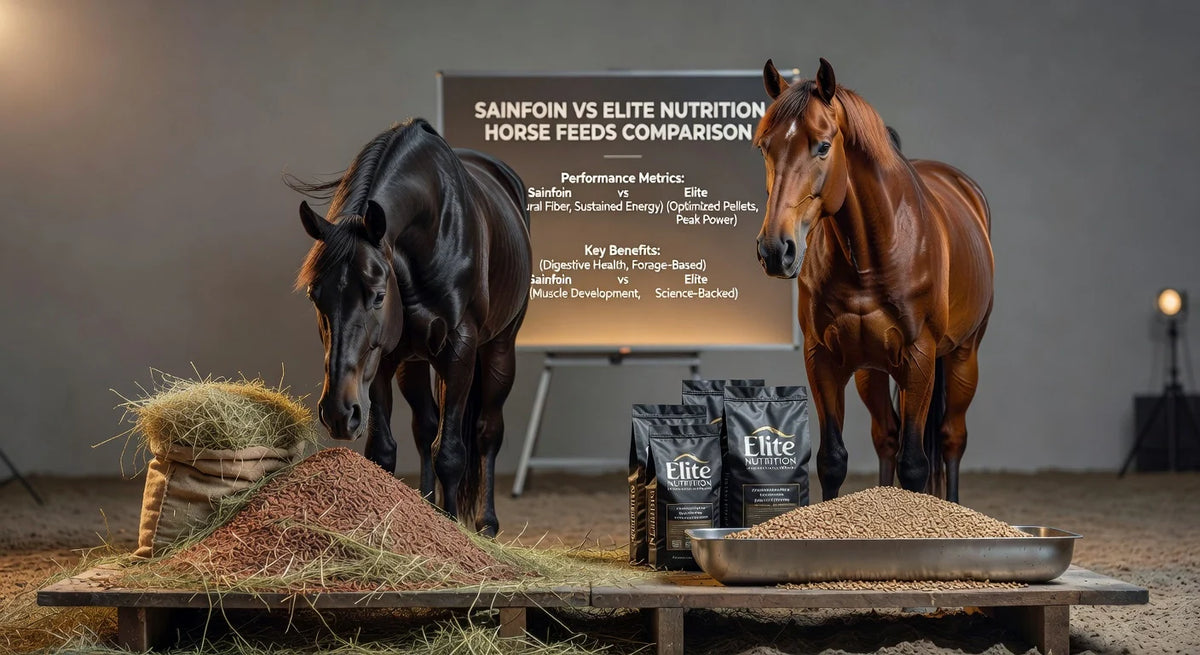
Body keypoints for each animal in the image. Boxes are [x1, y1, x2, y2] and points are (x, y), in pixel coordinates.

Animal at [289, 118, 531, 536]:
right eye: (313, 296)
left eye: (377, 295)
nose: (338, 412)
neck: (433, 227)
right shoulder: (384, 359)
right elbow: (384, 451)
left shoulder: (459, 349)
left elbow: (450, 452)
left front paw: (453, 530)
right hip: (413, 361)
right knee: (425, 427)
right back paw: (429, 504)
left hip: (499, 349)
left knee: (486, 431)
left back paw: (485, 523)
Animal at [754, 59, 994, 503]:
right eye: (764, 146)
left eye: (823, 146)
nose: (776, 250)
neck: (869, 256)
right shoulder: (822, 359)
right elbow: (833, 459)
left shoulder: (918, 359)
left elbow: (915, 464)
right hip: (873, 370)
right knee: (886, 436)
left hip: (962, 356)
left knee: (951, 438)